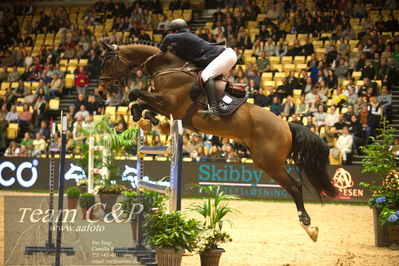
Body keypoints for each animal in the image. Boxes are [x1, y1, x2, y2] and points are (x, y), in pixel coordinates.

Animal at [98, 40, 340, 242]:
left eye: (108, 62)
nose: (100, 92)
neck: (167, 68)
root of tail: (286, 125)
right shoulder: (166, 107)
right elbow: (139, 101)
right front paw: (149, 119)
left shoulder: (168, 104)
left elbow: (135, 94)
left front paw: (145, 117)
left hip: (269, 163)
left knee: (295, 187)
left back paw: (308, 226)